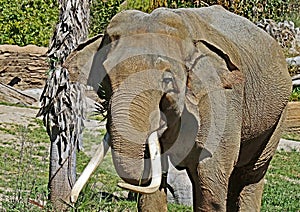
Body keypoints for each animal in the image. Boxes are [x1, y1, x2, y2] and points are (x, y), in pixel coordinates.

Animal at [64, 5, 292, 212]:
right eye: (106, 80)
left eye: (167, 80)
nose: (71, 201)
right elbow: (151, 191)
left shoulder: (221, 102)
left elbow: (209, 177)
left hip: (278, 117)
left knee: (250, 174)